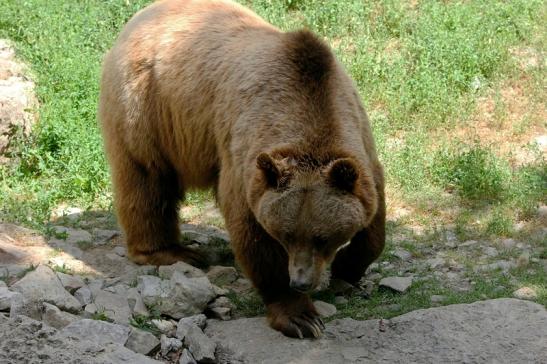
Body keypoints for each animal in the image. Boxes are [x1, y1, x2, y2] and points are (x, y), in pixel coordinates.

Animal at [99, 0, 386, 340]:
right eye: (286, 235)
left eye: (323, 237)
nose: (301, 280)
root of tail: (139, 16)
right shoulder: (246, 157)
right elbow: (251, 230)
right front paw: (301, 316)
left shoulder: (359, 140)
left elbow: (373, 216)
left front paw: (347, 266)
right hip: (148, 107)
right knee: (147, 179)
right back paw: (172, 252)